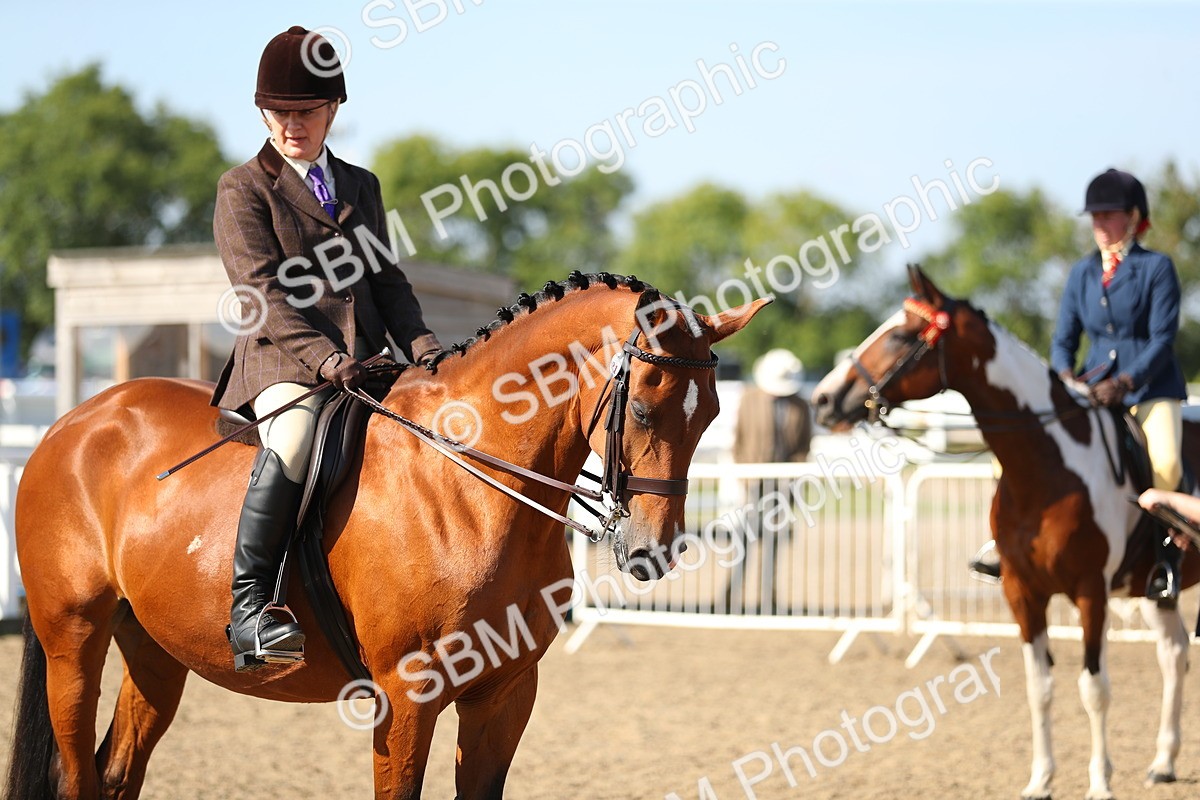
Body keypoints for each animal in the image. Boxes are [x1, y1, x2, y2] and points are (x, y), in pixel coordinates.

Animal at [4, 272, 769, 800]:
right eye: (640, 409)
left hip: (156, 650)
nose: (651, 553)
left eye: (712, 415)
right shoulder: (406, 694)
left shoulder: (507, 691)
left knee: (117, 772)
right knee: (77, 775)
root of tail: (74, 422)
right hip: (74, 638)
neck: (471, 486)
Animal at [811, 265, 1199, 800]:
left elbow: (1094, 689)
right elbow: (1040, 688)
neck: (1048, 467)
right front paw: (1040, 780)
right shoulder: (1021, 591)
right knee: (1173, 653)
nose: (823, 399)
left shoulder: (1091, 592)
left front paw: (1100, 782)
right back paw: (1163, 761)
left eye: (901, 335)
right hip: (1151, 590)